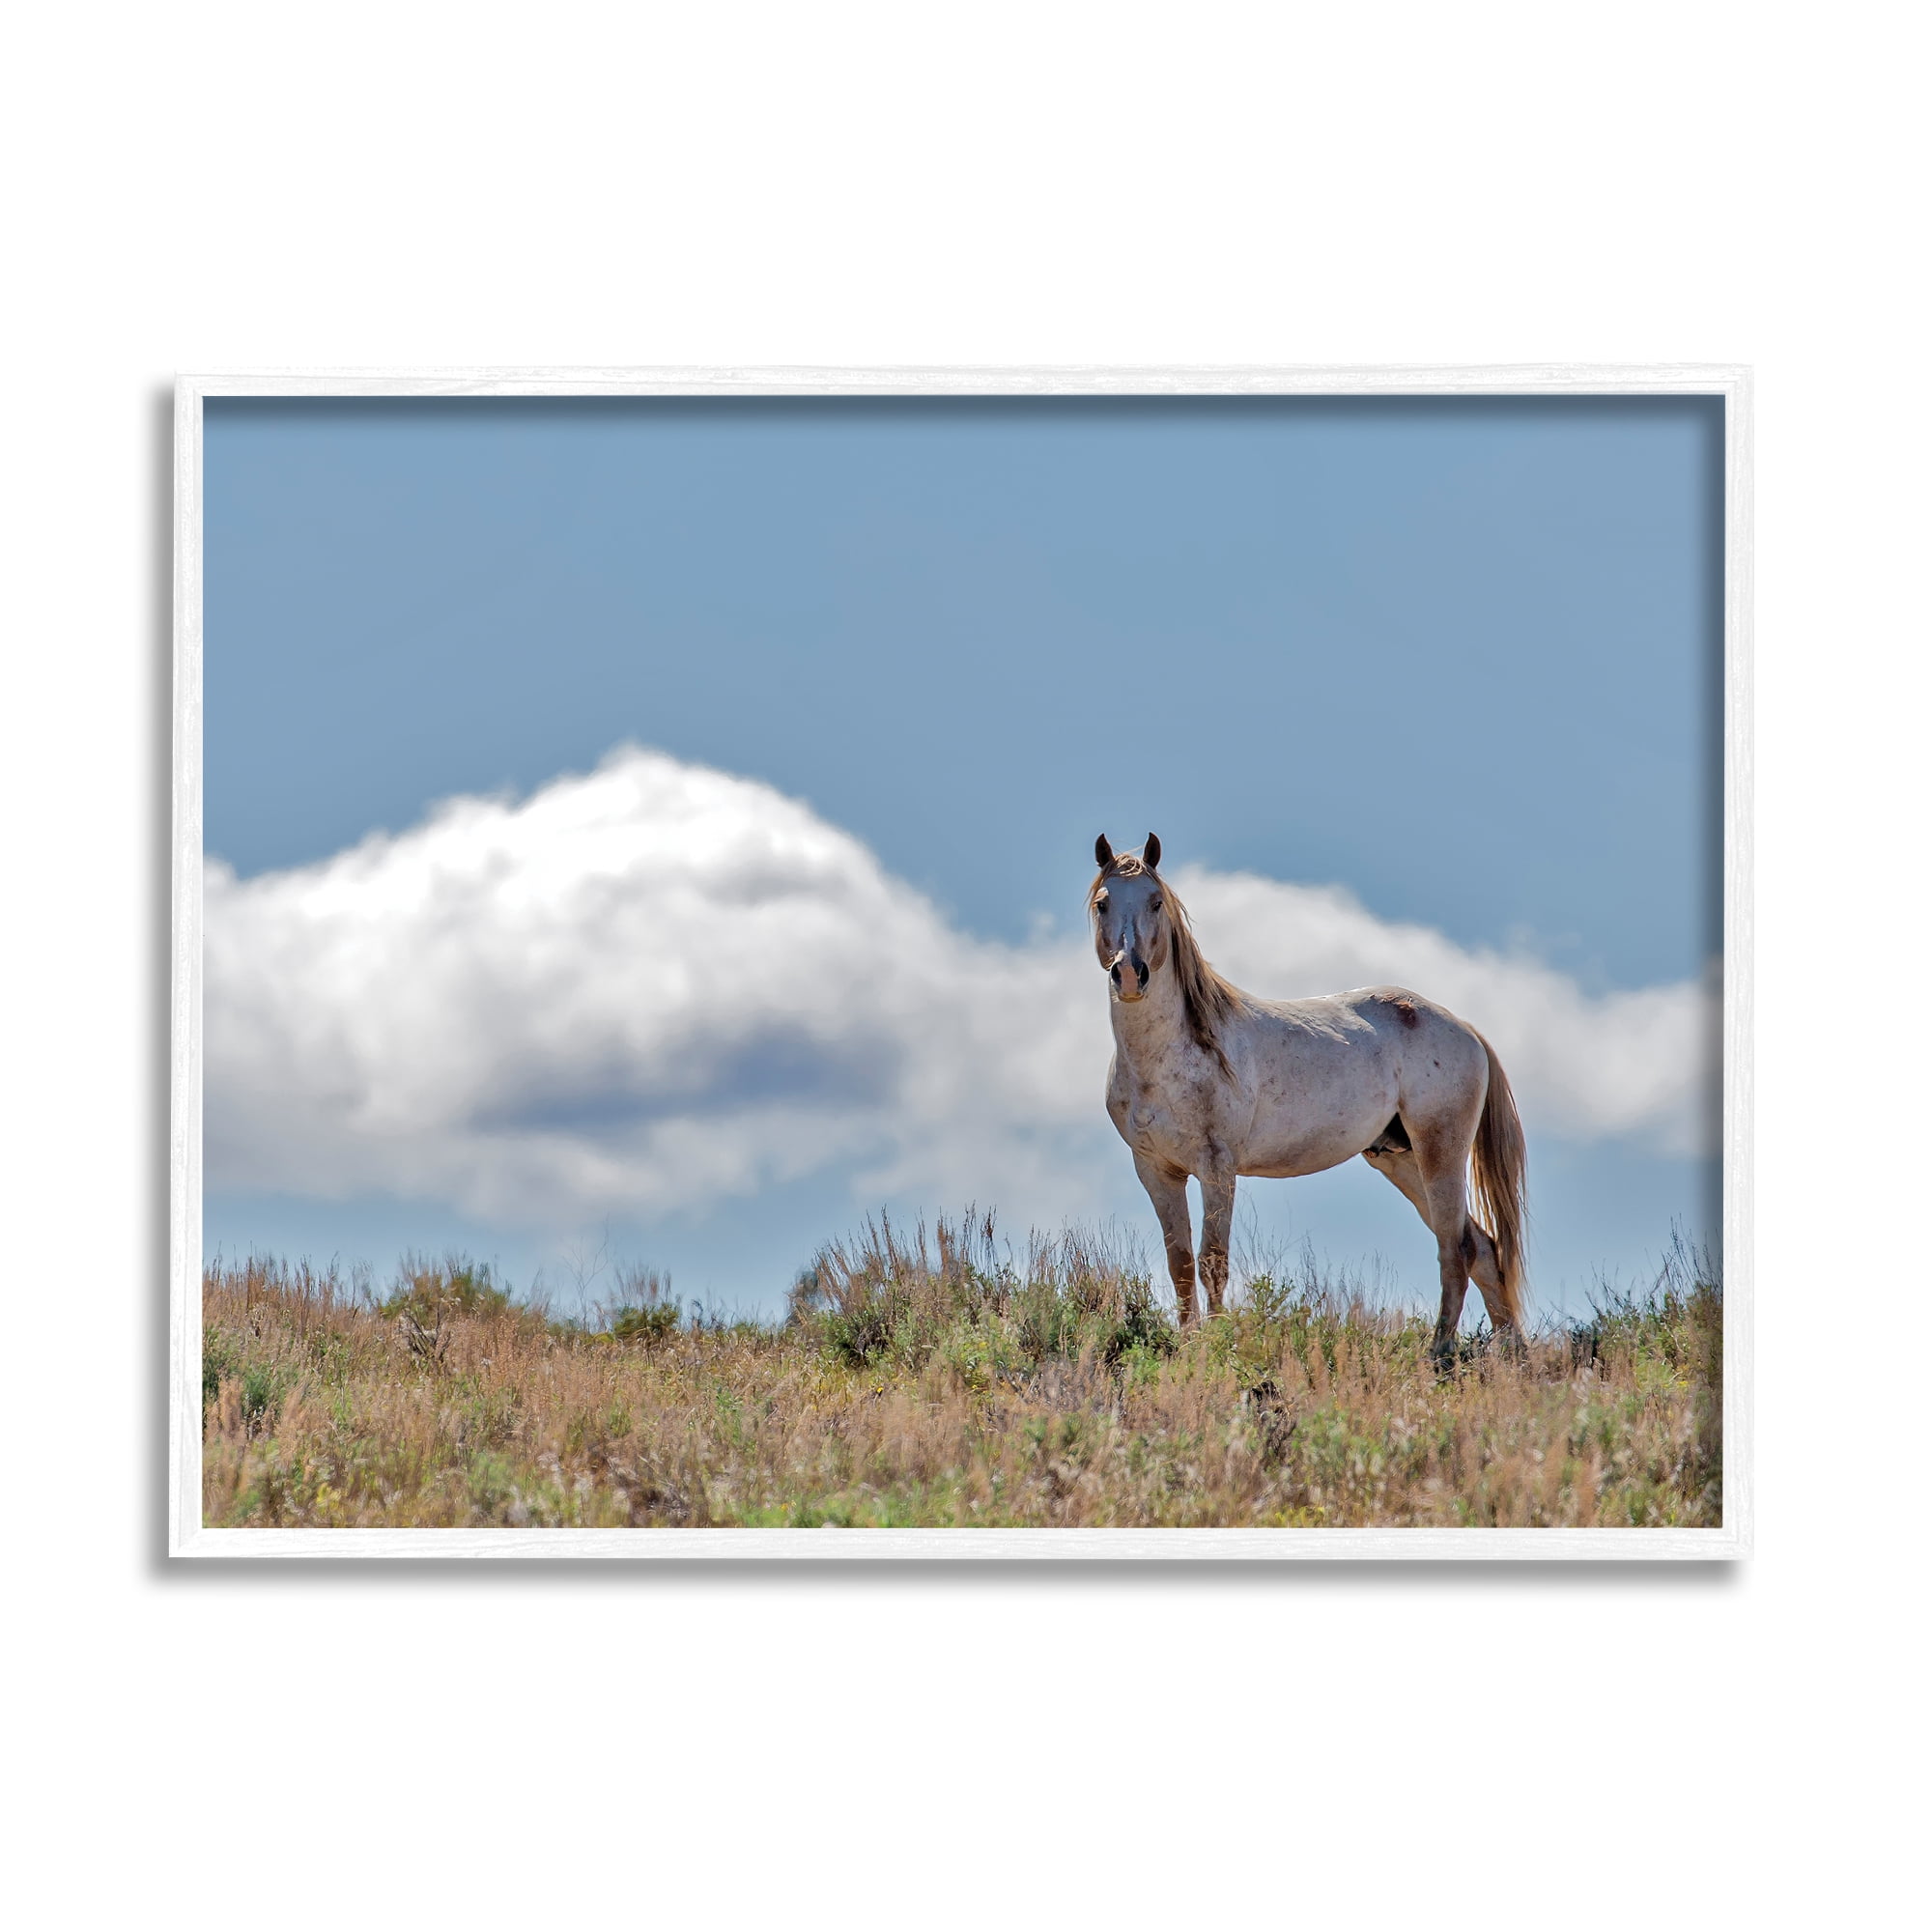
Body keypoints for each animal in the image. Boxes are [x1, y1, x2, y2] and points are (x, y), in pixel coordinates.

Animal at [1089, 833, 1527, 1363]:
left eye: (1156, 902)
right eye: (1103, 903)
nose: (1130, 975)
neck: (1168, 1057)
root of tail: (1464, 1028)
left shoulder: (1217, 1168)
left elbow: (1212, 1259)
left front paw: (1216, 1343)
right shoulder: (1157, 1170)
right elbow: (1180, 1261)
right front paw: (1189, 1342)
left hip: (1440, 1152)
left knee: (1456, 1248)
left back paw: (1438, 1350)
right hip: (1400, 1160)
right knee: (1482, 1248)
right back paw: (1511, 1354)